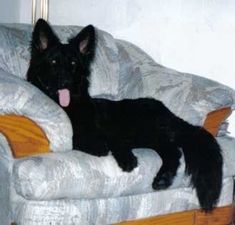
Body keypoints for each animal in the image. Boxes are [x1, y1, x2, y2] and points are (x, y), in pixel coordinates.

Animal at [27, 19, 222, 211]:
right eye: (53, 62)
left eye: (73, 64)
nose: (66, 82)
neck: (70, 107)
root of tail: (169, 113)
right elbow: (83, 140)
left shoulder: (109, 130)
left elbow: (113, 140)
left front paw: (126, 158)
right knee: (171, 151)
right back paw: (163, 177)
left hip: (145, 130)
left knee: (173, 150)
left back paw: (162, 177)